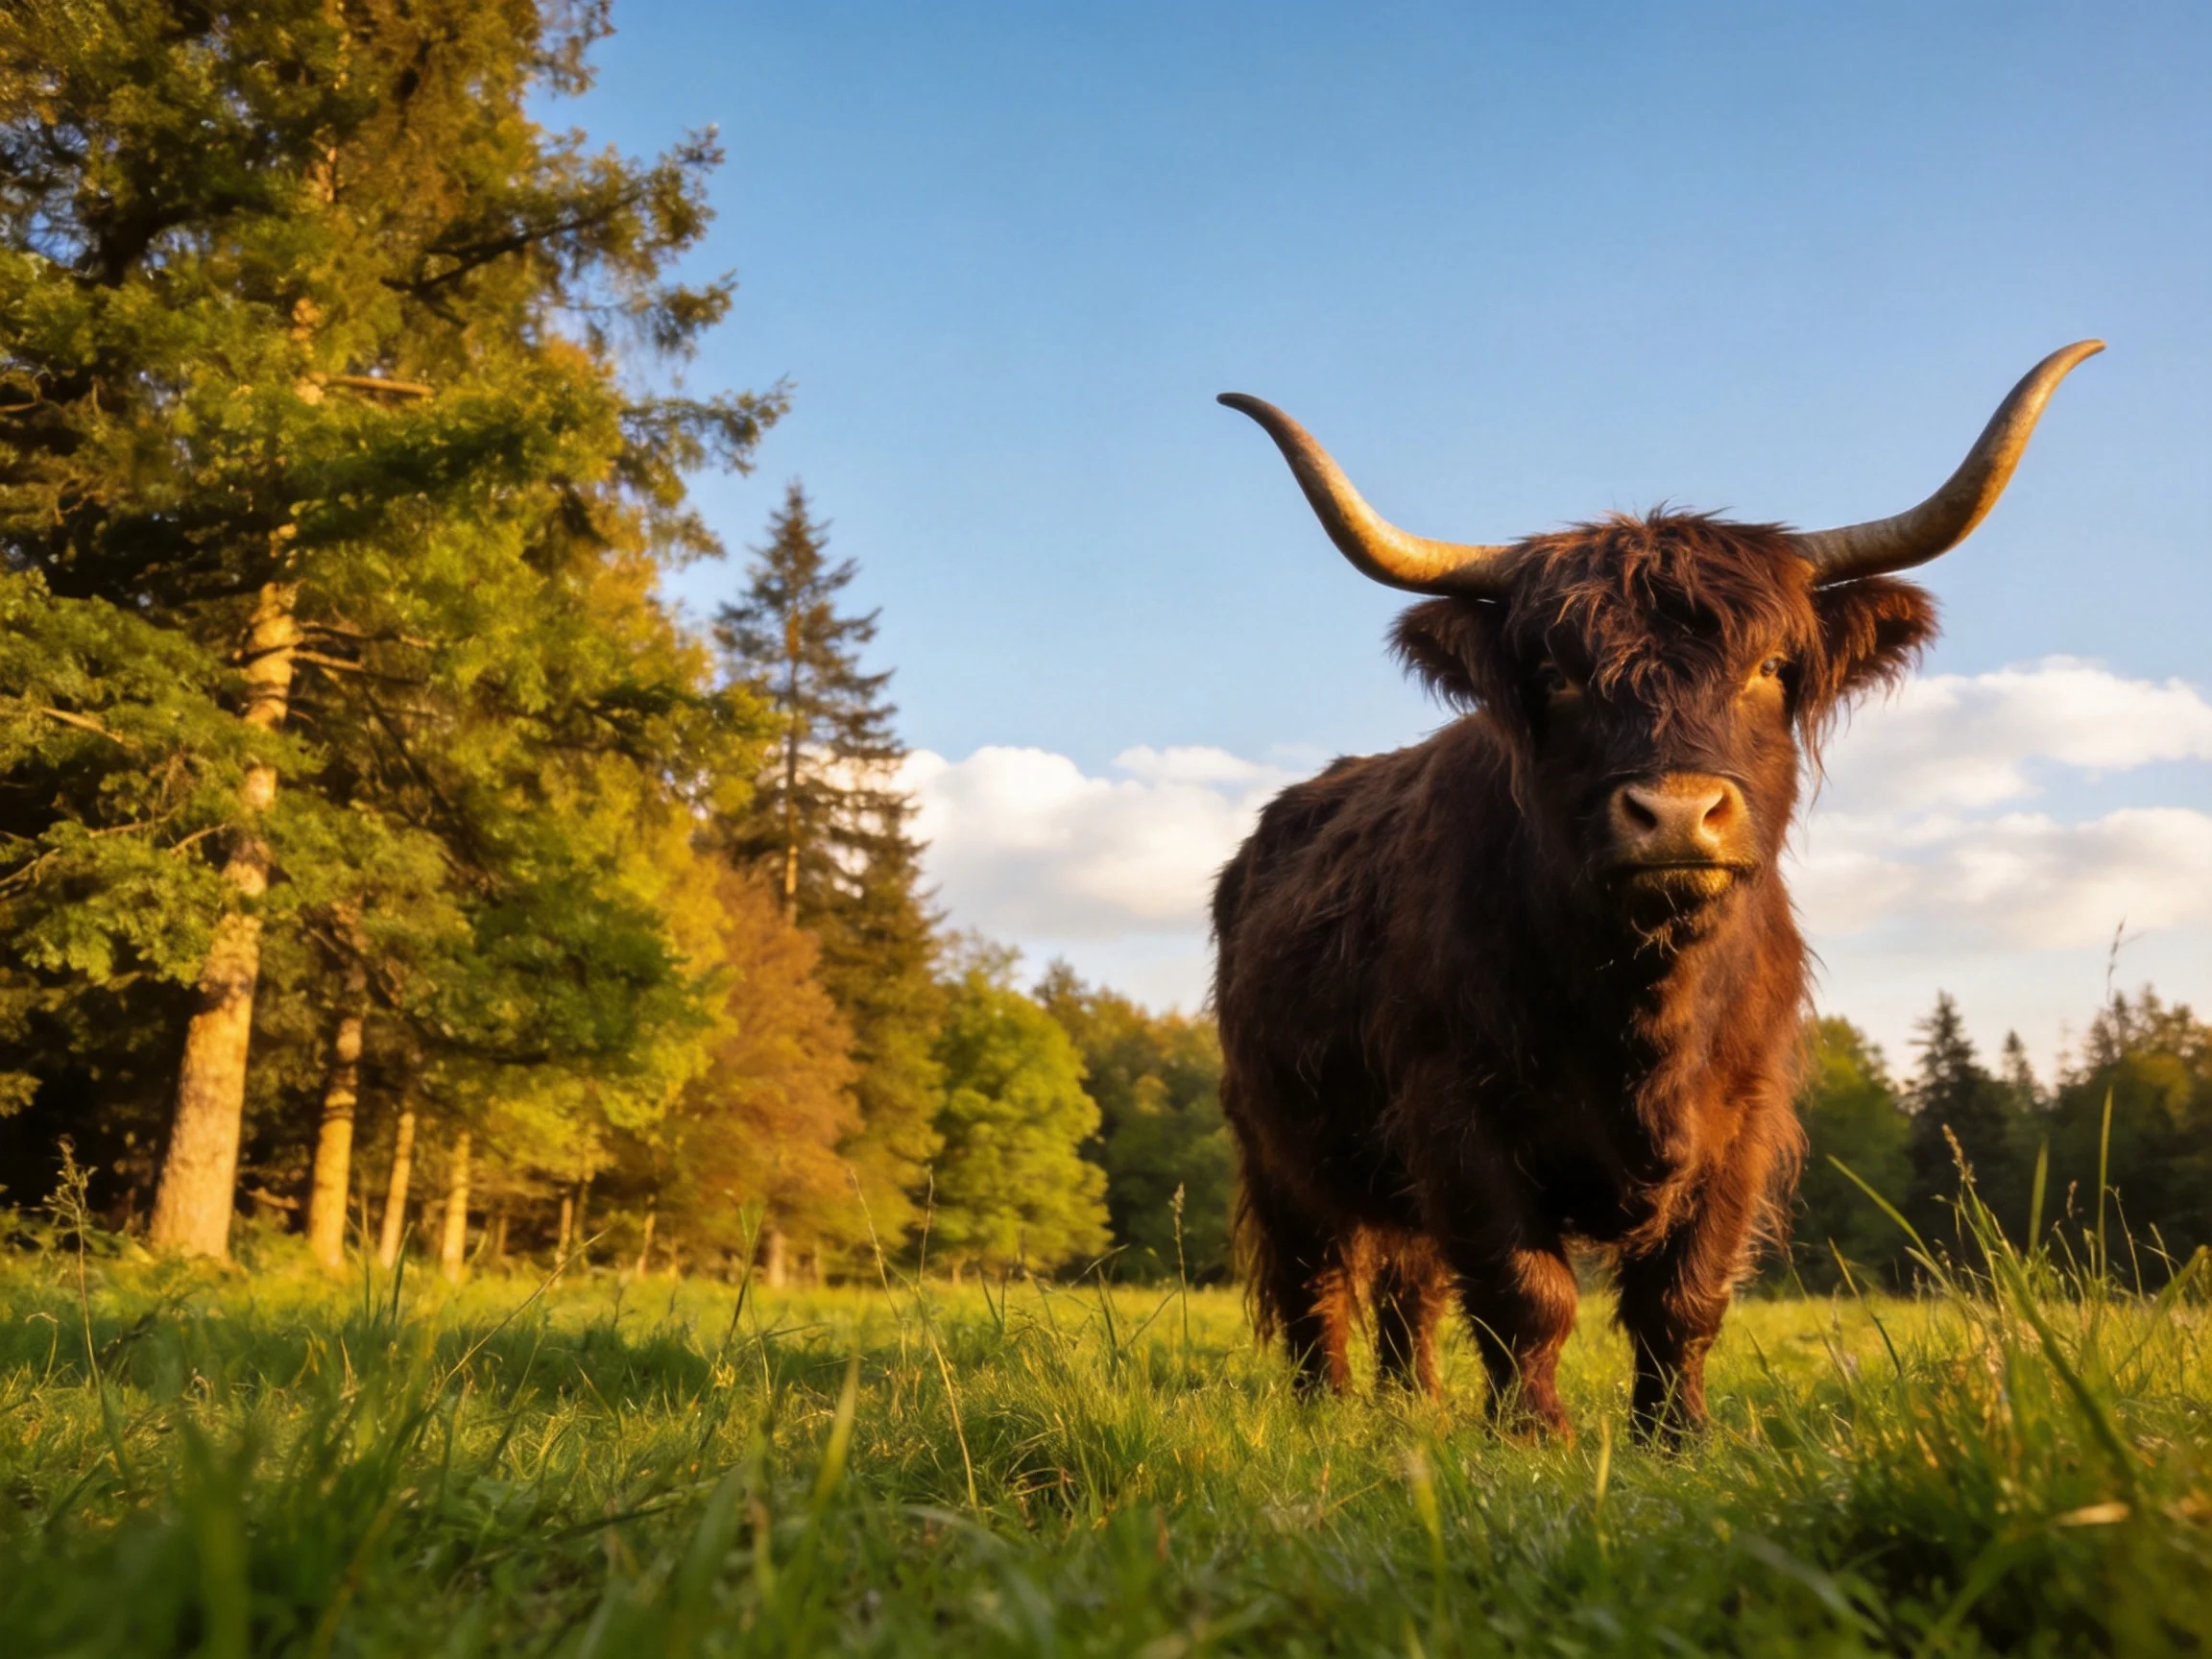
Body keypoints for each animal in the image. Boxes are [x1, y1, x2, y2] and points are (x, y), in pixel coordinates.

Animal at [1211, 342, 2101, 1438]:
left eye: (1771, 666)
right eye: (1556, 675)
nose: (1676, 814)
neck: (1642, 1000)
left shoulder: (1742, 1122)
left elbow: (1685, 1296)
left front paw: (1675, 1438)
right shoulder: (1454, 1111)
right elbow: (1524, 1291)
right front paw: (1531, 1437)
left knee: (1409, 1283)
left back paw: (1411, 1406)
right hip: (1276, 1140)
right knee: (1319, 1277)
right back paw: (1326, 1411)